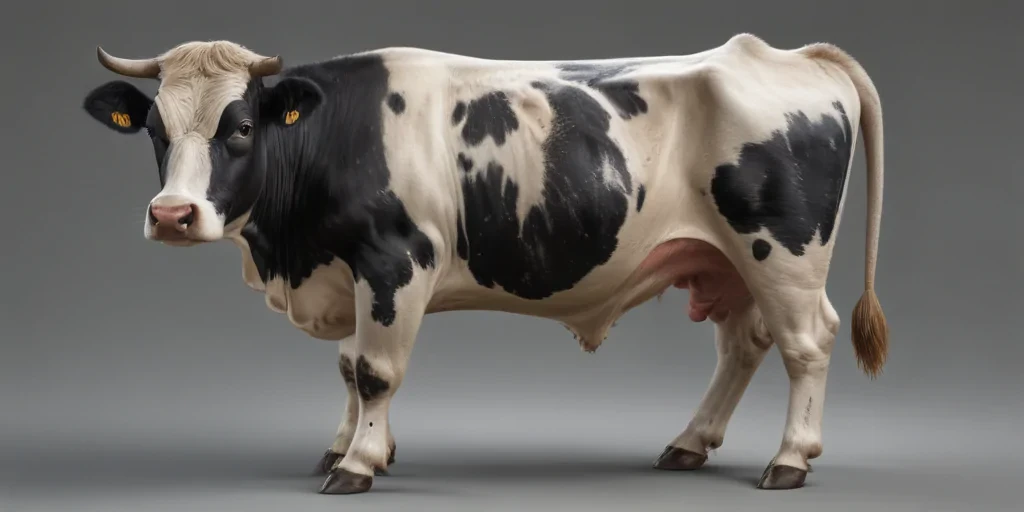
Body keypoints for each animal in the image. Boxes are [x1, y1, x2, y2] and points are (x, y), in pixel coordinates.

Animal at [80, 32, 888, 495]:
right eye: (153, 129)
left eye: (242, 126)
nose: (172, 214)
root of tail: (784, 54)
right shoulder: (351, 271)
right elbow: (347, 368)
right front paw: (345, 446)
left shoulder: (395, 259)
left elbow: (376, 371)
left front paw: (358, 465)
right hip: (724, 259)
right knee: (744, 344)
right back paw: (689, 444)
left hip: (783, 251)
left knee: (806, 342)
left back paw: (790, 461)